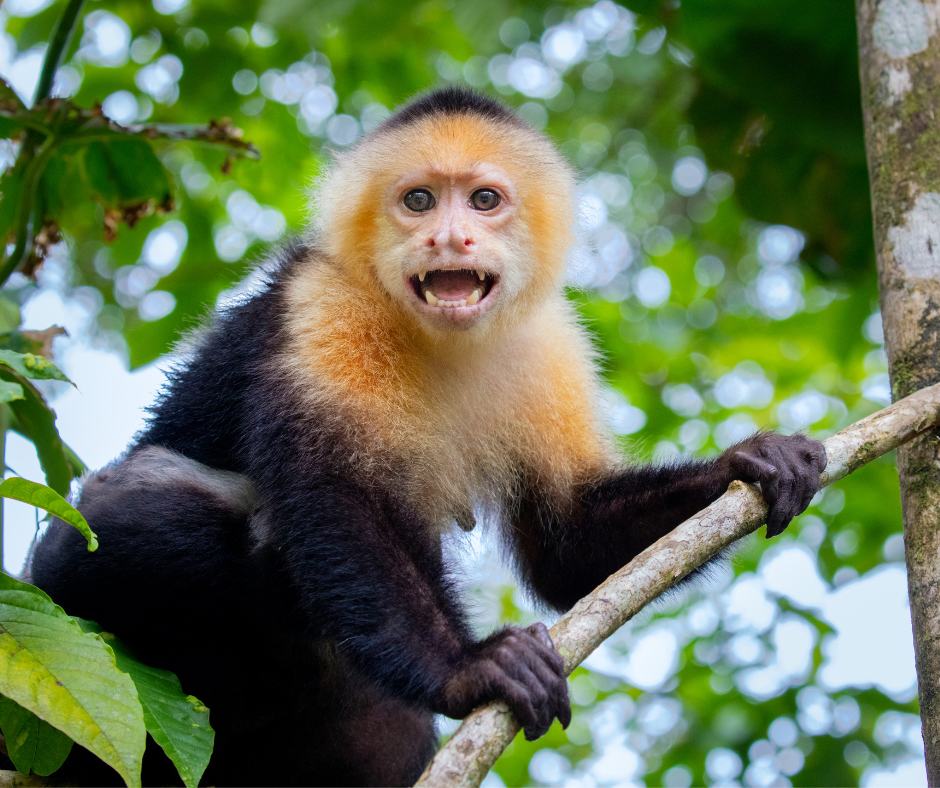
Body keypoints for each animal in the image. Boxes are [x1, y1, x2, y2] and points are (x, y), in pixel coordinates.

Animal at [30, 87, 826, 787]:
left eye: (483, 200)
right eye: (418, 201)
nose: (449, 236)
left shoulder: (551, 343)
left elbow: (566, 544)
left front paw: (746, 462)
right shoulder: (323, 306)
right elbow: (337, 495)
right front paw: (467, 671)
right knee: (162, 510)